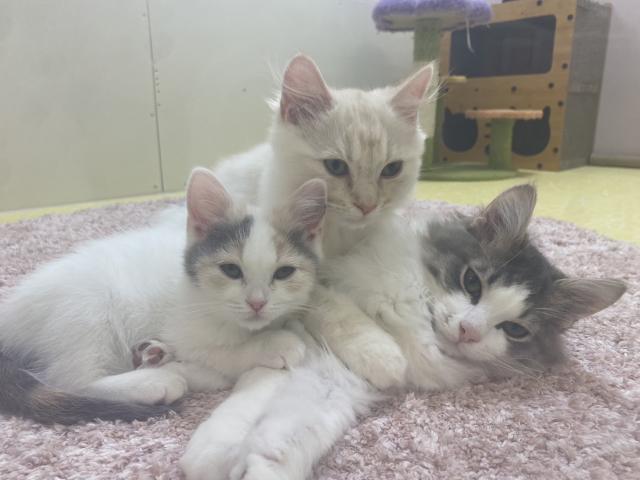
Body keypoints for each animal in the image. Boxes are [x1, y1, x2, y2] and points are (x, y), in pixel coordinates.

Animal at [0, 168, 327, 425]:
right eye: (231, 270)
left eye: (283, 273)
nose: (257, 303)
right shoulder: (184, 327)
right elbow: (220, 354)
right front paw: (272, 344)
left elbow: (214, 372)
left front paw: (174, 363)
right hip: (83, 309)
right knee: (70, 379)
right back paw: (152, 381)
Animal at [179, 184, 626, 480]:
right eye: (472, 283)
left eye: (515, 329)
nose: (468, 330)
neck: (417, 324)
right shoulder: (320, 293)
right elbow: (345, 325)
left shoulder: (335, 380)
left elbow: (287, 431)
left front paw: (253, 463)